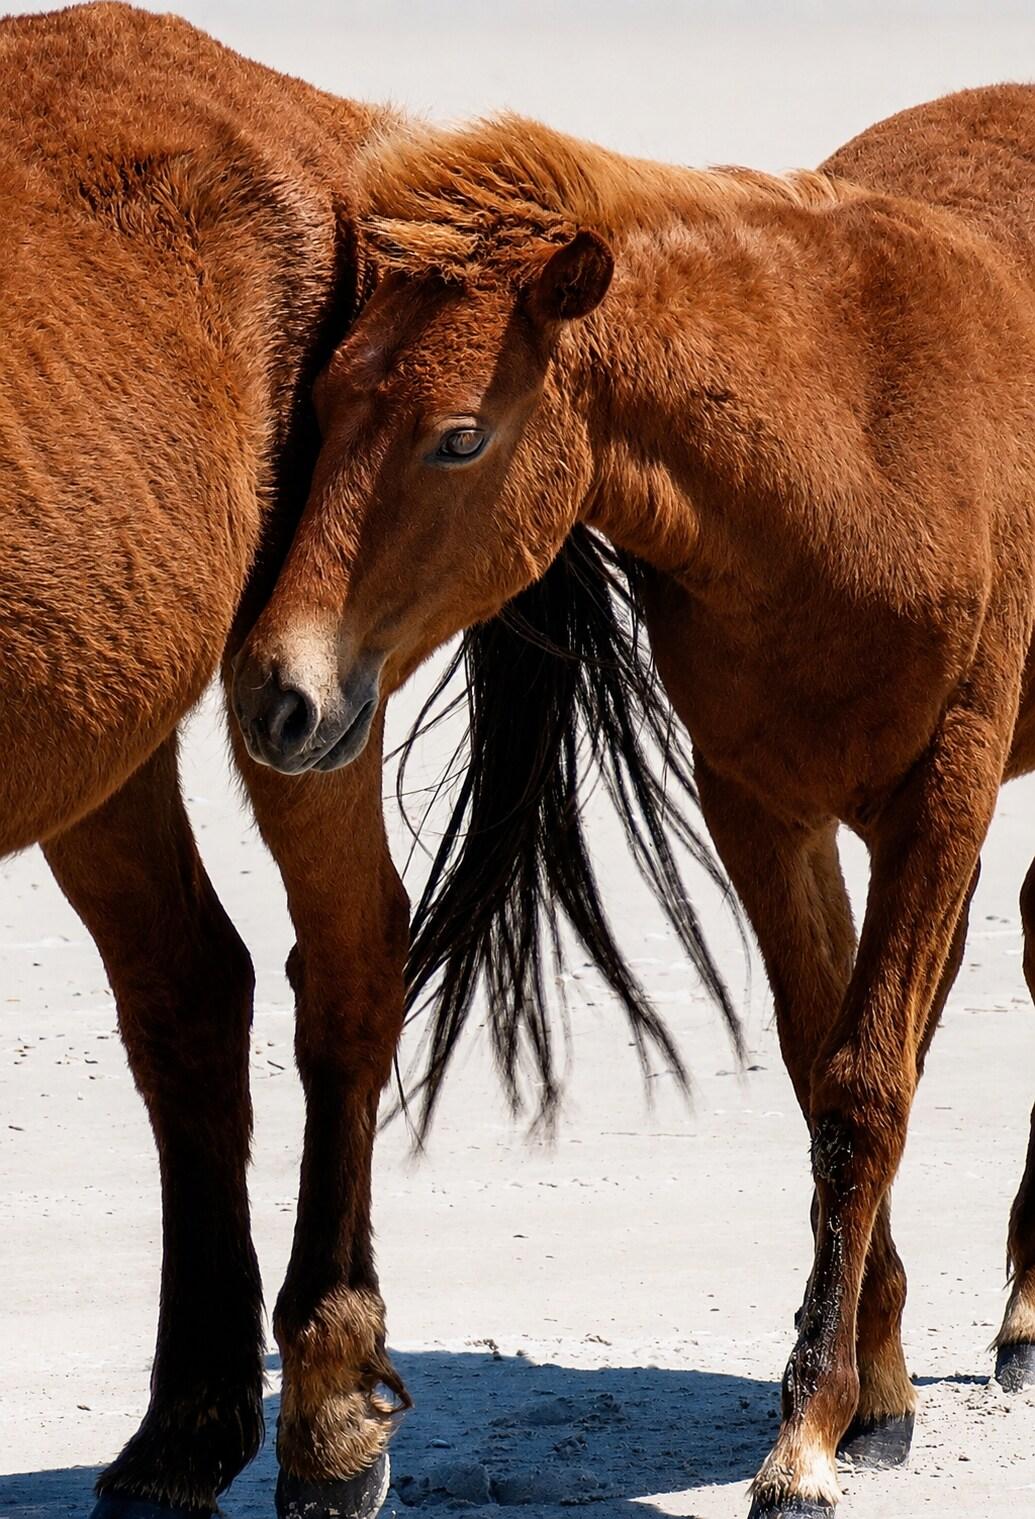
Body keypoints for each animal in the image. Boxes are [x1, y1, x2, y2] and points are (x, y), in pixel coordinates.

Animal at [3, 8, 734, 1517]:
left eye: (456, 435)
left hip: (295, 720)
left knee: (340, 965)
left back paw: (328, 1416)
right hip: (133, 727)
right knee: (189, 993)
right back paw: (184, 1430)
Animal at [234, 87, 1035, 1517]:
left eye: (459, 435)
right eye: (319, 400)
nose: (280, 691)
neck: (857, 445)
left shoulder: (944, 789)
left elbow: (867, 1085)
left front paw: (804, 1441)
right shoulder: (759, 803)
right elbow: (826, 1074)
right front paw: (869, 1390)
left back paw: (1028, 1317)